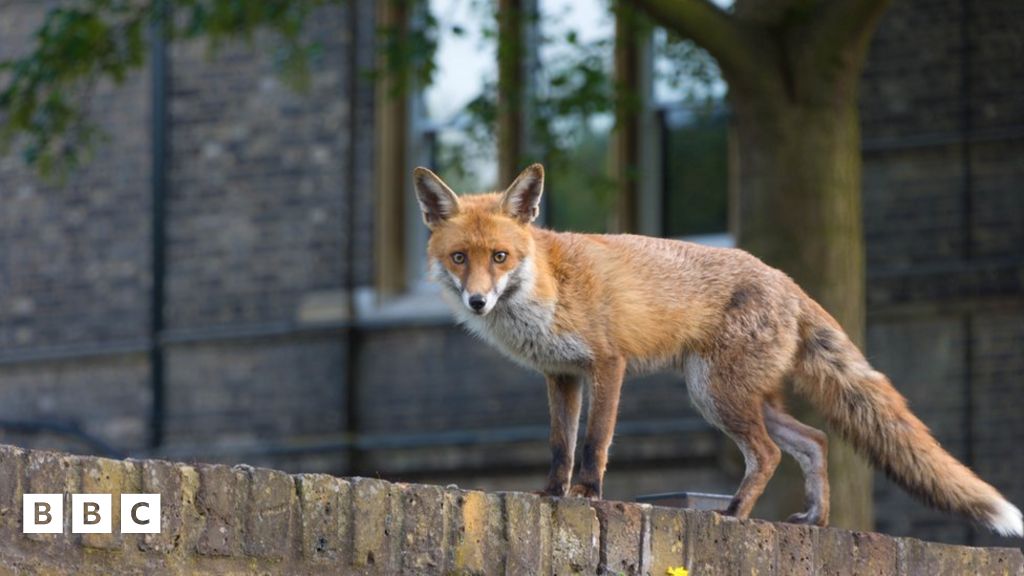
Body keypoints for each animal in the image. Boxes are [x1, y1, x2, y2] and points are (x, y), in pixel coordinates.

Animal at [411, 159, 1019, 532]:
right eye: (460, 258)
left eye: (501, 257)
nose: (478, 303)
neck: (548, 286)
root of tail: (788, 280)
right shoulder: (561, 375)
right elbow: (560, 445)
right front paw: (549, 495)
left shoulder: (608, 363)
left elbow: (594, 443)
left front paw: (586, 495)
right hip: (734, 396)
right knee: (815, 440)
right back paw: (815, 521)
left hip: (714, 394)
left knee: (770, 454)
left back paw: (733, 513)